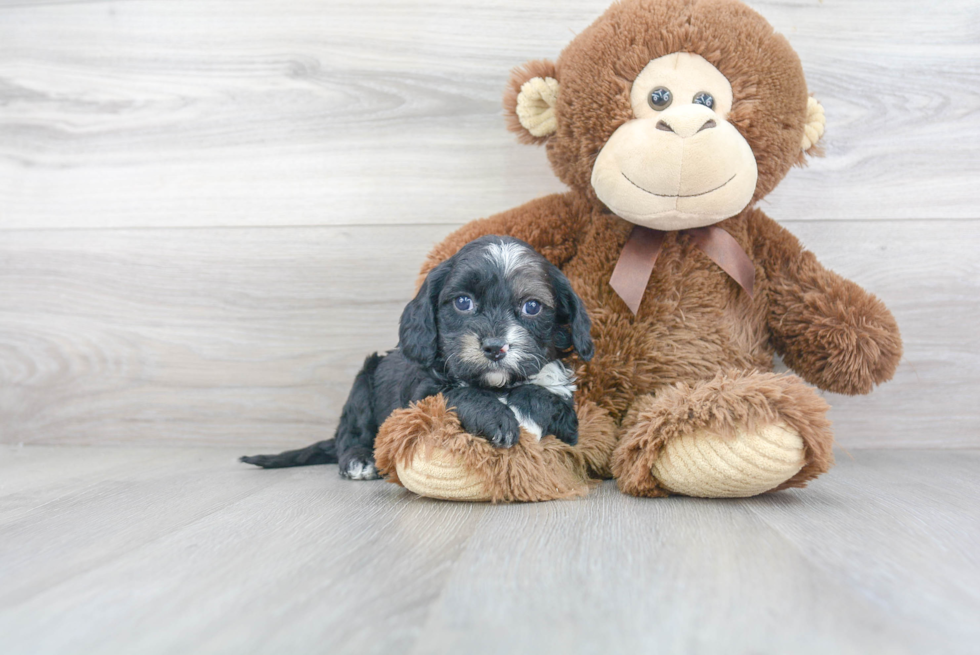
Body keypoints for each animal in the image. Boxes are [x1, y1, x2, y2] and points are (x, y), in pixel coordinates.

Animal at [241, 236, 592, 482]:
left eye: (532, 306)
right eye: (463, 302)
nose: (495, 347)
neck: (496, 385)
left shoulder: (567, 414)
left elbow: (547, 396)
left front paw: (523, 408)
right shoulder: (421, 395)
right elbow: (459, 393)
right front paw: (495, 416)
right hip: (363, 382)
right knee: (349, 434)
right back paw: (358, 459)